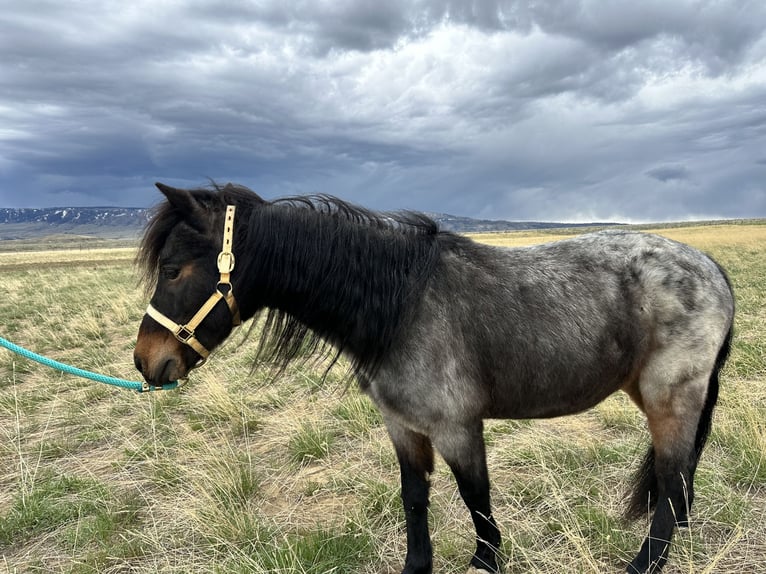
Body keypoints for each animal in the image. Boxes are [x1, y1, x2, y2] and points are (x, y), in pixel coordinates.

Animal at [134, 184, 736, 574]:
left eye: (173, 270)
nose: (146, 362)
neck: (401, 305)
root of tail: (710, 266)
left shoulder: (456, 427)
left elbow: (476, 499)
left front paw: (487, 561)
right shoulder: (404, 428)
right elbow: (414, 498)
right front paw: (416, 564)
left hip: (670, 398)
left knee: (672, 479)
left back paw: (645, 563)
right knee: (680, 480)